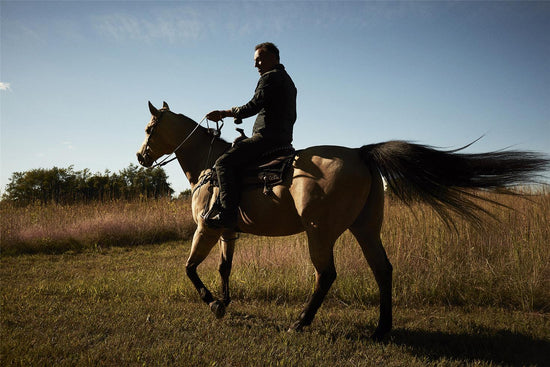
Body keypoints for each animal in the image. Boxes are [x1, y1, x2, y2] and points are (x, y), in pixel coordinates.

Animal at [136, 102, 548, 340]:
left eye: (148, 129)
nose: (140, 156)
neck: (210, 167)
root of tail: (361, 153)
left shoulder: (206, 228)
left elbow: (190, 268)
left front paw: (212, 303)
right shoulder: (227, 231)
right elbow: (224, 268)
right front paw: (223, 302)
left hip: (319, 233)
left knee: (326, 275)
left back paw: (301, 322)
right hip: (366, 229)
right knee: (382, 269)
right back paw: (382, 327)